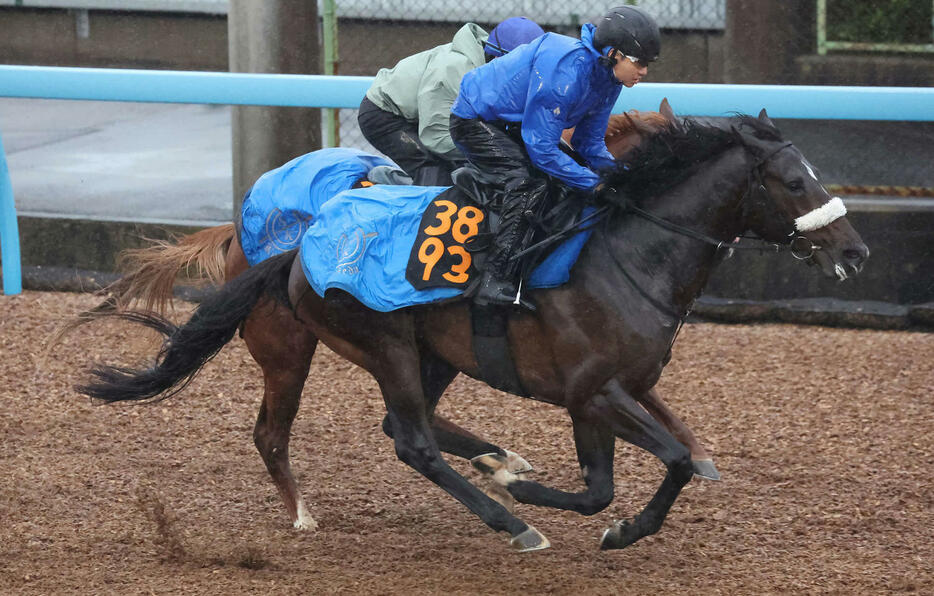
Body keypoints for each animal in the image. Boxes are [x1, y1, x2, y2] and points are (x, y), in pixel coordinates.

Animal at [75, 109, 872, 552]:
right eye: (794, 182)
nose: (855, 251)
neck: (626, 252)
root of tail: (295, 251)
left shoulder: (603, 396)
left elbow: (615, 479)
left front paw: (578, 504)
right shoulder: (594, 392)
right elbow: (659, 464)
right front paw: (555, 508)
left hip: (430, 351)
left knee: (403, 427)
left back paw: (498, 467)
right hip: (363, 343)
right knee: (401, 441)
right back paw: (498, 518)